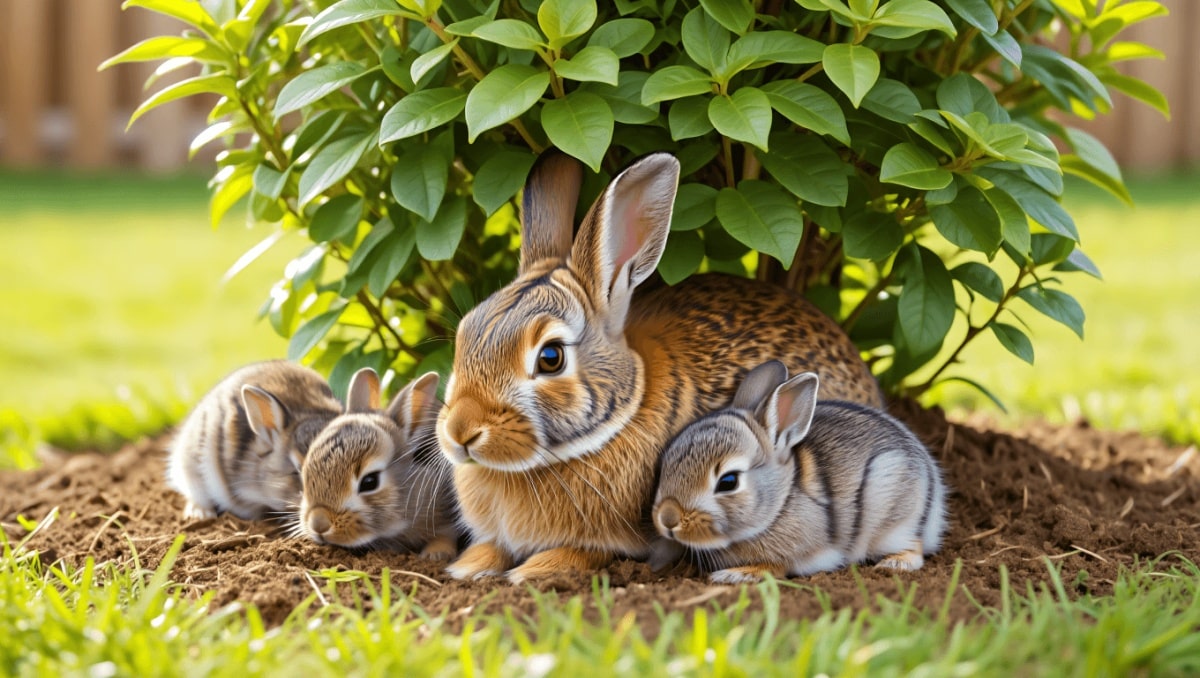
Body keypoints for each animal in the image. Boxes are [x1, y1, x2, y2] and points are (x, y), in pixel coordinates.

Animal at [436, 151, 882, 583]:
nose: (460, 432)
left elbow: (584, 552)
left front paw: (531, 570)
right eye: (465, 333)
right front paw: (468, 566)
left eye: (551, 357)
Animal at [650, 361, 948, 583]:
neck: (779, 503)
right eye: (667, 461)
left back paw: (895, 564)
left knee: (914, 546)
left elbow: (775, 567)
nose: (667, 519)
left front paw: (736, 575)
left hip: (894, 512)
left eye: (728, 481)